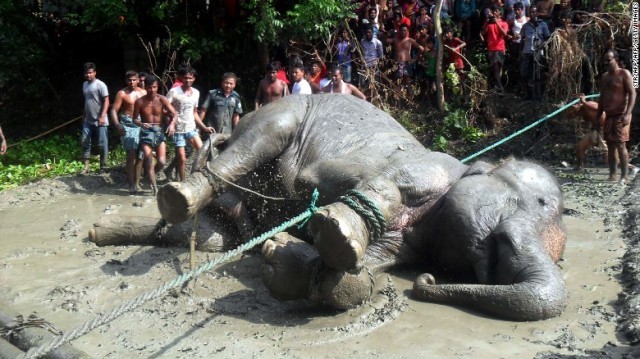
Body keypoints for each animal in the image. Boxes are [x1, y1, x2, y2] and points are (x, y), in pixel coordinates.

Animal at [158, 94, 568, 322]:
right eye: (539, 202)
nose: (426, 282)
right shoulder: (429, 164)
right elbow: (379, 184)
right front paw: (337, 232)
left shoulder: (408, 243)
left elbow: (363, 270)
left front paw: (281, 256)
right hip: (283, 111)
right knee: (259, 140)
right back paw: (179, 199)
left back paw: (248, 234)